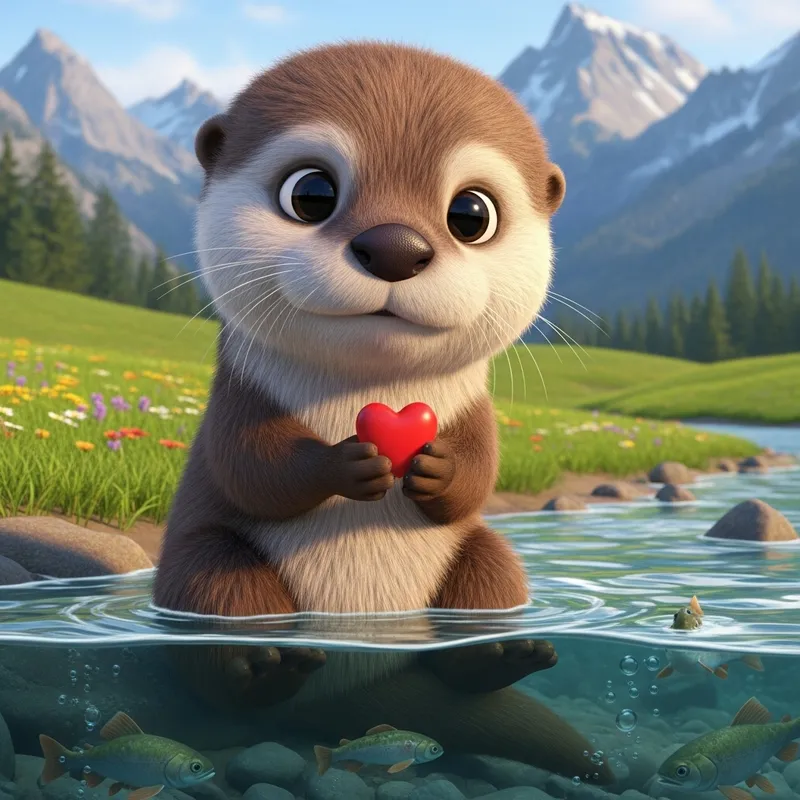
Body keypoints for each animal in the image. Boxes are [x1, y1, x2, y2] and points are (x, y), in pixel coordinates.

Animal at [153, 42, 613, 785]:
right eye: (310, 193)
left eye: (472, 213)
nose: (396, 246)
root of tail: (354, 677)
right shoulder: (238, 392)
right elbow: (251, 464)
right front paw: (351, 462)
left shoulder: (477, 409)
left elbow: (480, 470)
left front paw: (434, 467)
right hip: (207, 567)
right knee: (221, 611)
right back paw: (265, 666)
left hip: (482, 564)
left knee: (489, 580)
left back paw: (499, 655)